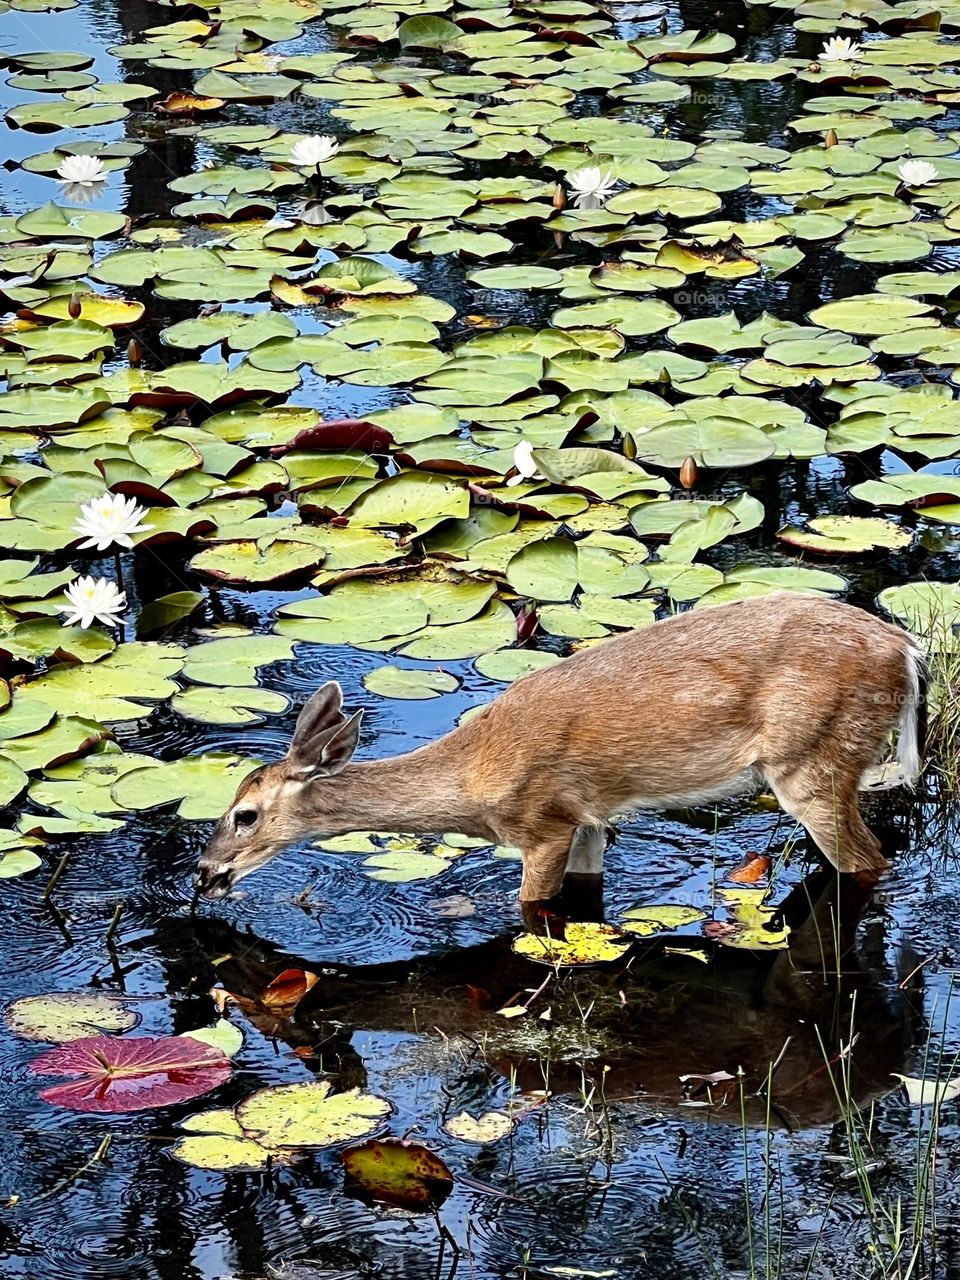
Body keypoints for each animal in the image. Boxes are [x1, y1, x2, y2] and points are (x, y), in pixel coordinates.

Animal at [193, 593, 926, 916]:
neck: (472, 777)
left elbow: (531, 908)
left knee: (869, 859)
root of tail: (907, 650)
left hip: (811, 759)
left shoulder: (541, 822)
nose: (204, 874)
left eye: (244, 815)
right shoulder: (590, 821)